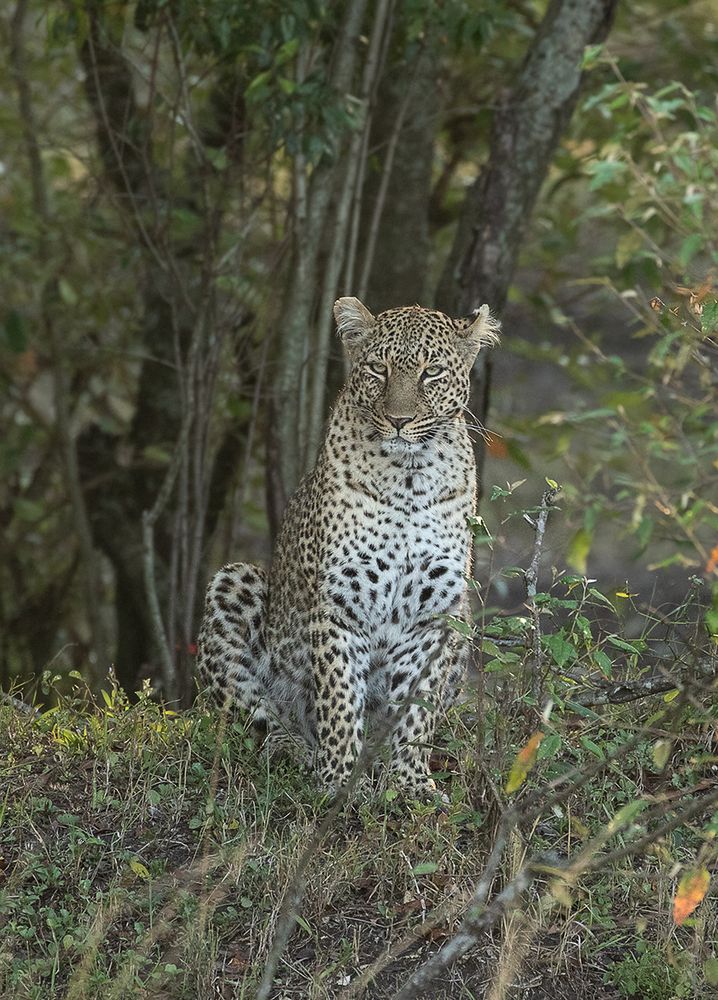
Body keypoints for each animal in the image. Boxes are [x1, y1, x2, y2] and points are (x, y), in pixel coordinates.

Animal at [197, 294, 500, 796]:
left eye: (432, 372)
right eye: (378, 368)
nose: (399, 421)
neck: (408, 479)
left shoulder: (437, 612)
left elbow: (417, 706)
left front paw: (410, 783)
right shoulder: (341, 602)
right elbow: (338, 695)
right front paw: (337, 779)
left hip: (465, 621)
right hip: (235, 582)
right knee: (255, 716)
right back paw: (296, 750)